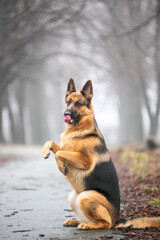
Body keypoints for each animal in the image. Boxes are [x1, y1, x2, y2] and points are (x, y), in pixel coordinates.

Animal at [42, 79, 160, 230]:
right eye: (68, 102)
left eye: (78, 103)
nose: (66, 113)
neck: (78, 129)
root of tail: (117, 220)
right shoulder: (65, 147)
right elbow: (52, 143)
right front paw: (46, 152)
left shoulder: (85, 160)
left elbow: (60, 153)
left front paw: (62, 167)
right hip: (73, 196)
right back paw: (76, 221)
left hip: (86, 196)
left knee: (105, 224)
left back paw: (87, 225)